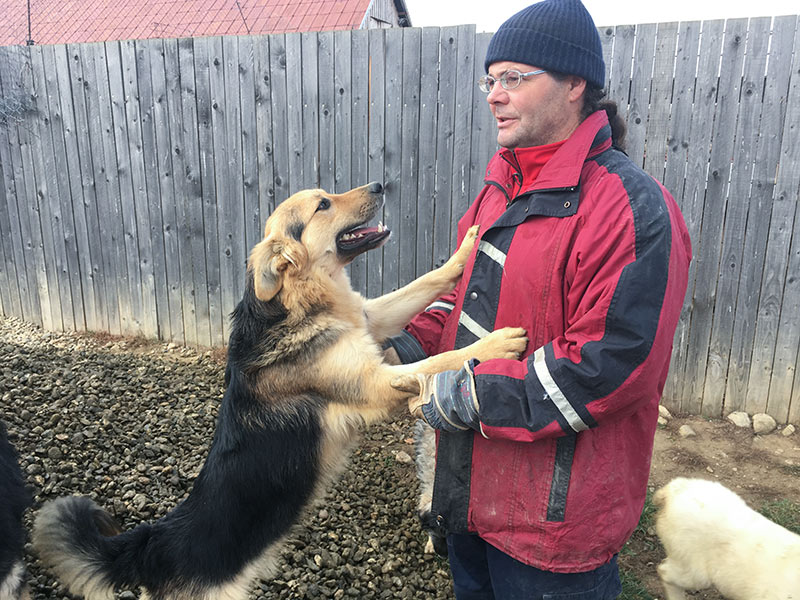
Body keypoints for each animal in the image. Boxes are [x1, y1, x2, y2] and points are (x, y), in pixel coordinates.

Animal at [33, 182, 527, 600]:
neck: (298, 299)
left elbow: (420, 284)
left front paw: (463, 253)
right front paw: (496, 345)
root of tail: (152, 544)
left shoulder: (372, 319)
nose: (380, 185)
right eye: (323, 204)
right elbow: (437, 362)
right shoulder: (373, 382)